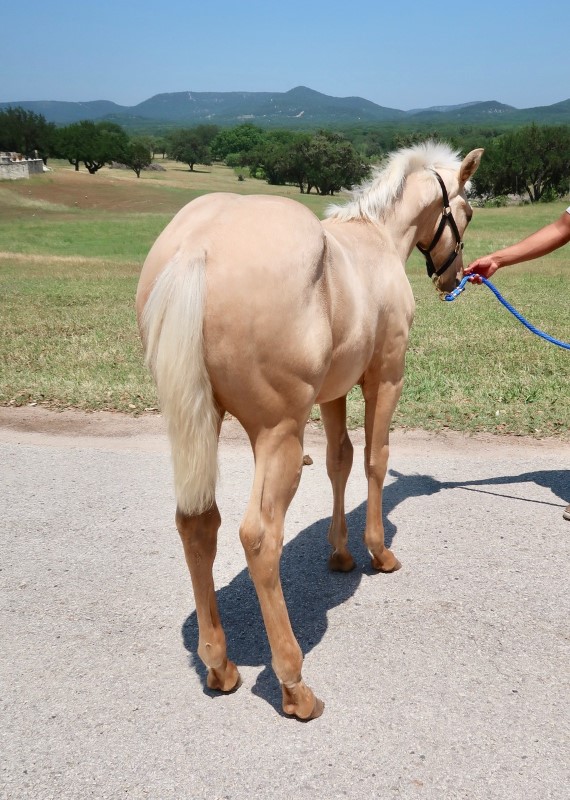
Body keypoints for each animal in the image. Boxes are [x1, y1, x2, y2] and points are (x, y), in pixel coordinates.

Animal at [135, 141, 482, 720]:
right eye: (468, 211)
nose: (453, 277)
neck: (377, 237)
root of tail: (197, 249)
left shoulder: (334, 391)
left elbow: (340, 460)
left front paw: (340, 554)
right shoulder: (385, 376)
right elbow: (375, 459)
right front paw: (377, 552)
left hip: (201, 421)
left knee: (197, 525)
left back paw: (220, 665)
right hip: (278, 433)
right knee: (258, 538)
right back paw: (294, 683)